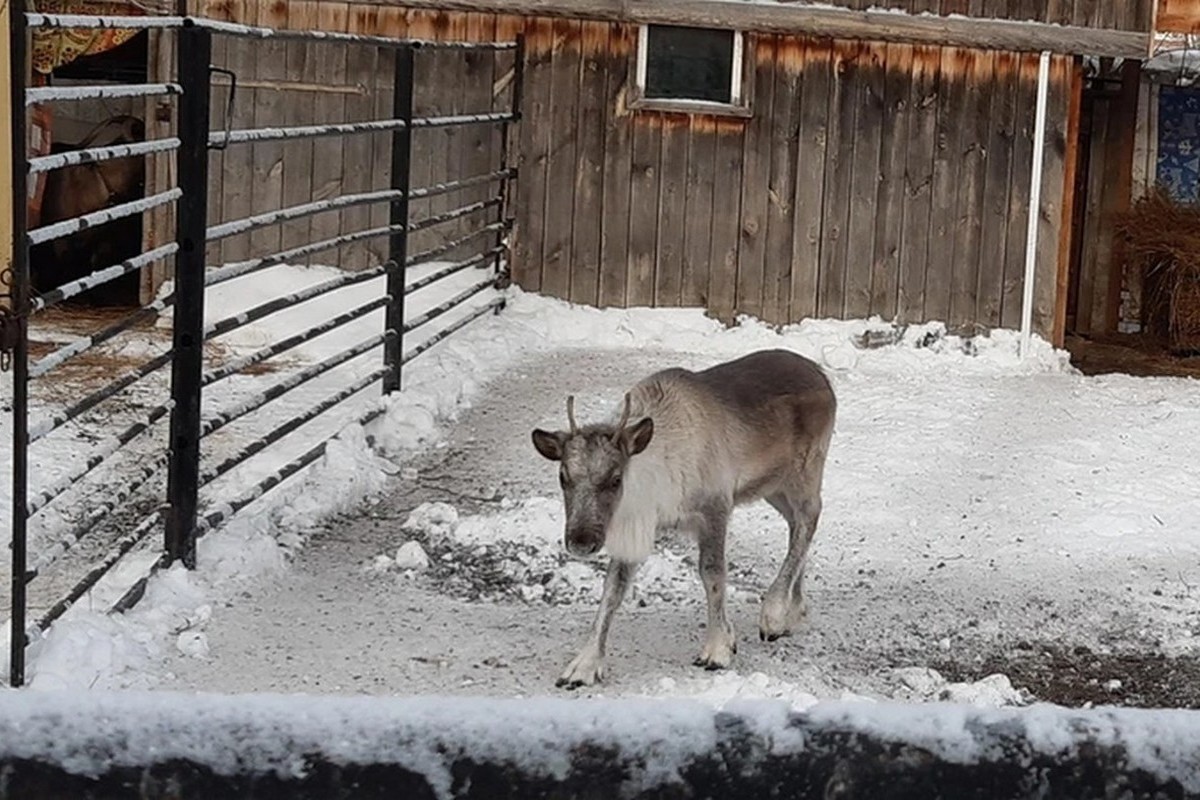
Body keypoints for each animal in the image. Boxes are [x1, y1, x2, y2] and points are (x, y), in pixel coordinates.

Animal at [532, 347, 835, 686]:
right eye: (563, 476)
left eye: (615, 479)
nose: (581, 541)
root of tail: (821, 374)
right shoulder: (634, 526)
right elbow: (613, 589)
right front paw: (583, 665)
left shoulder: (715, 508)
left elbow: (713, 574)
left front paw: (718, 648)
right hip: (774, 487)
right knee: (796, 526)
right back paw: (794, 611)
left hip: (804, 472)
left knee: (809, 519)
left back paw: (773, 613)